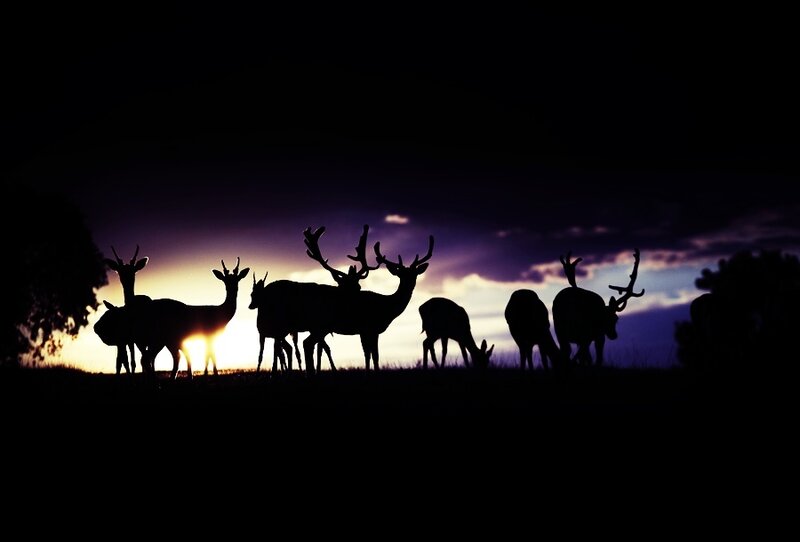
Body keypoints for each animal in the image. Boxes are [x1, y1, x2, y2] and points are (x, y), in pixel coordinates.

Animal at [103, 245, 149, 374]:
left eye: (133, 271)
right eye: (120, 271)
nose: (126, 279)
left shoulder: (138, 339)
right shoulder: (129, 339)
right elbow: (130, 362)